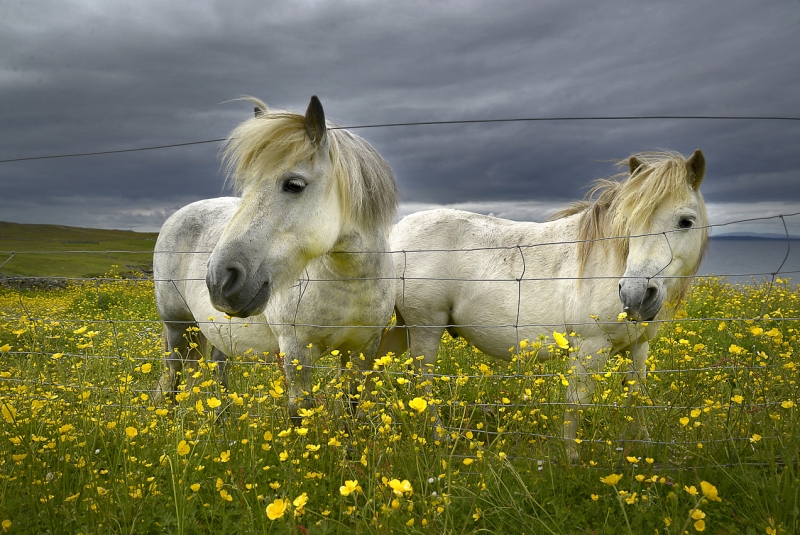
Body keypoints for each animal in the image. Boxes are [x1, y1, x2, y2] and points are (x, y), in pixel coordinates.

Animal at [153, 95, 398, 422]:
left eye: (294, 185)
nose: (219, 280)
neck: (350, 282)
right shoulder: (296, 352)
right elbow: (299, 413)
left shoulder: (363, 350)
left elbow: (352, 408)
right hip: (177, 328)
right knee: (174, 376)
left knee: (218, 370)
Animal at [377, 150, 708, 462]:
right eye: (628, 222)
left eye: (686, 222)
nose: (635, 295)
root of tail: (397, 232)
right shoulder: (588, 348)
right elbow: (576, 402)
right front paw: (571, 456)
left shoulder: (638, 347)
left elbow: (638, 396)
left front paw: (644, 445)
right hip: (425, 329)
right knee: (423, 382)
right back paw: (439, 437)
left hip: (406, 327)